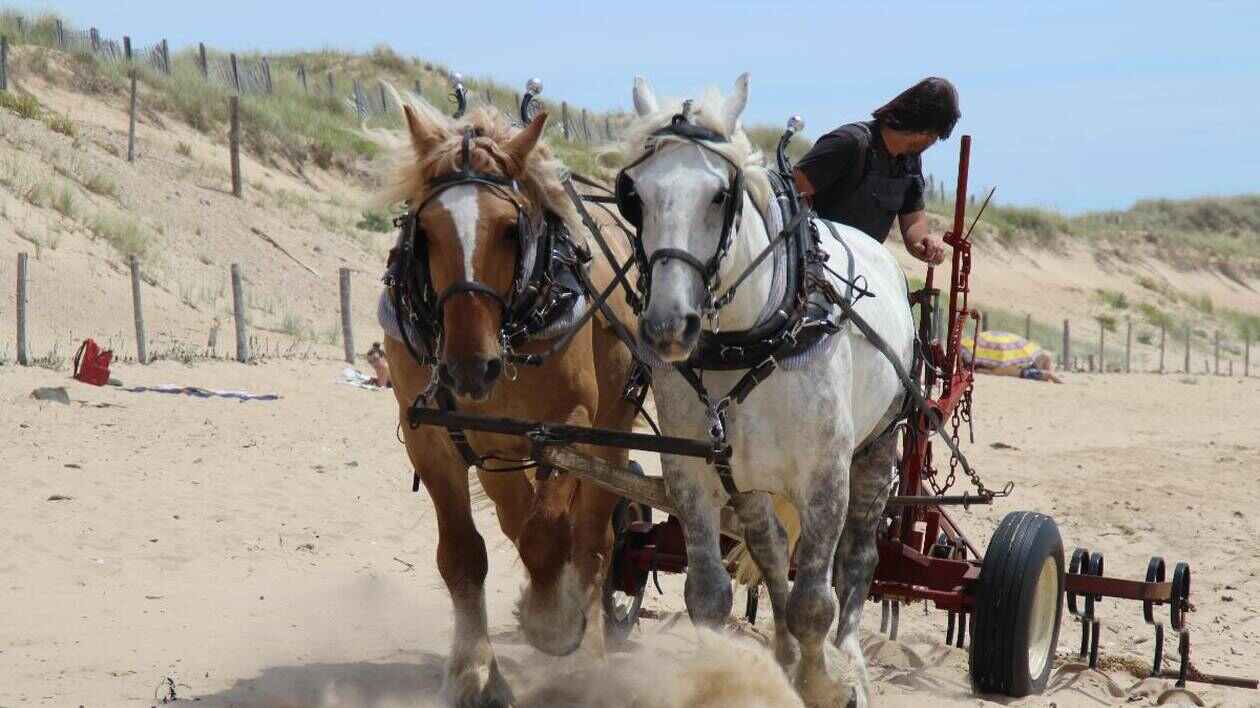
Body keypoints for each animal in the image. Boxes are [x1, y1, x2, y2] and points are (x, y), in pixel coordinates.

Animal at [380, 100, 640, 705]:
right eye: (426, 232)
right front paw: (474, 673)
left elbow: (547, 539)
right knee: (515, 514)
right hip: (495, 447)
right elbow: (462, 555)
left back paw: (587, 652)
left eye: (507, 230)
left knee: (593, 542)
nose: (469, 368)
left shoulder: (568, 431)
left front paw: (553, 622)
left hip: (610, 437)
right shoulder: (431, 439)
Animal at [622, 74, 912, 700]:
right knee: (774, 551)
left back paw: (850, 660)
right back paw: (784, 654)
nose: (668, 326)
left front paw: (824, 684)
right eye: (635, 195)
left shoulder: (825, 477)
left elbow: (814, 602)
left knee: (857, 562)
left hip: (879, 448)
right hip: (748, 478)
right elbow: (710, 596)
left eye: (718, 195)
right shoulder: (692, 473)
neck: (750, 337)